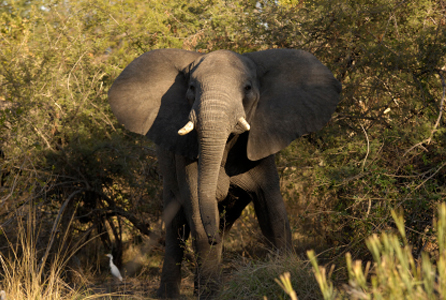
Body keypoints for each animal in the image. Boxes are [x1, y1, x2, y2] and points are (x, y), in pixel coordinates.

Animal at [108, 48, 342, 298]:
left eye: (247, 88)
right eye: (192, 88)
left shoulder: (261, 146)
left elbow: (273, 211)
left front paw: (286, 275)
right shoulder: (186, 153)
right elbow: (197, 214)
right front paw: (212, 294)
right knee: (177, 229)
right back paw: (171, 294)